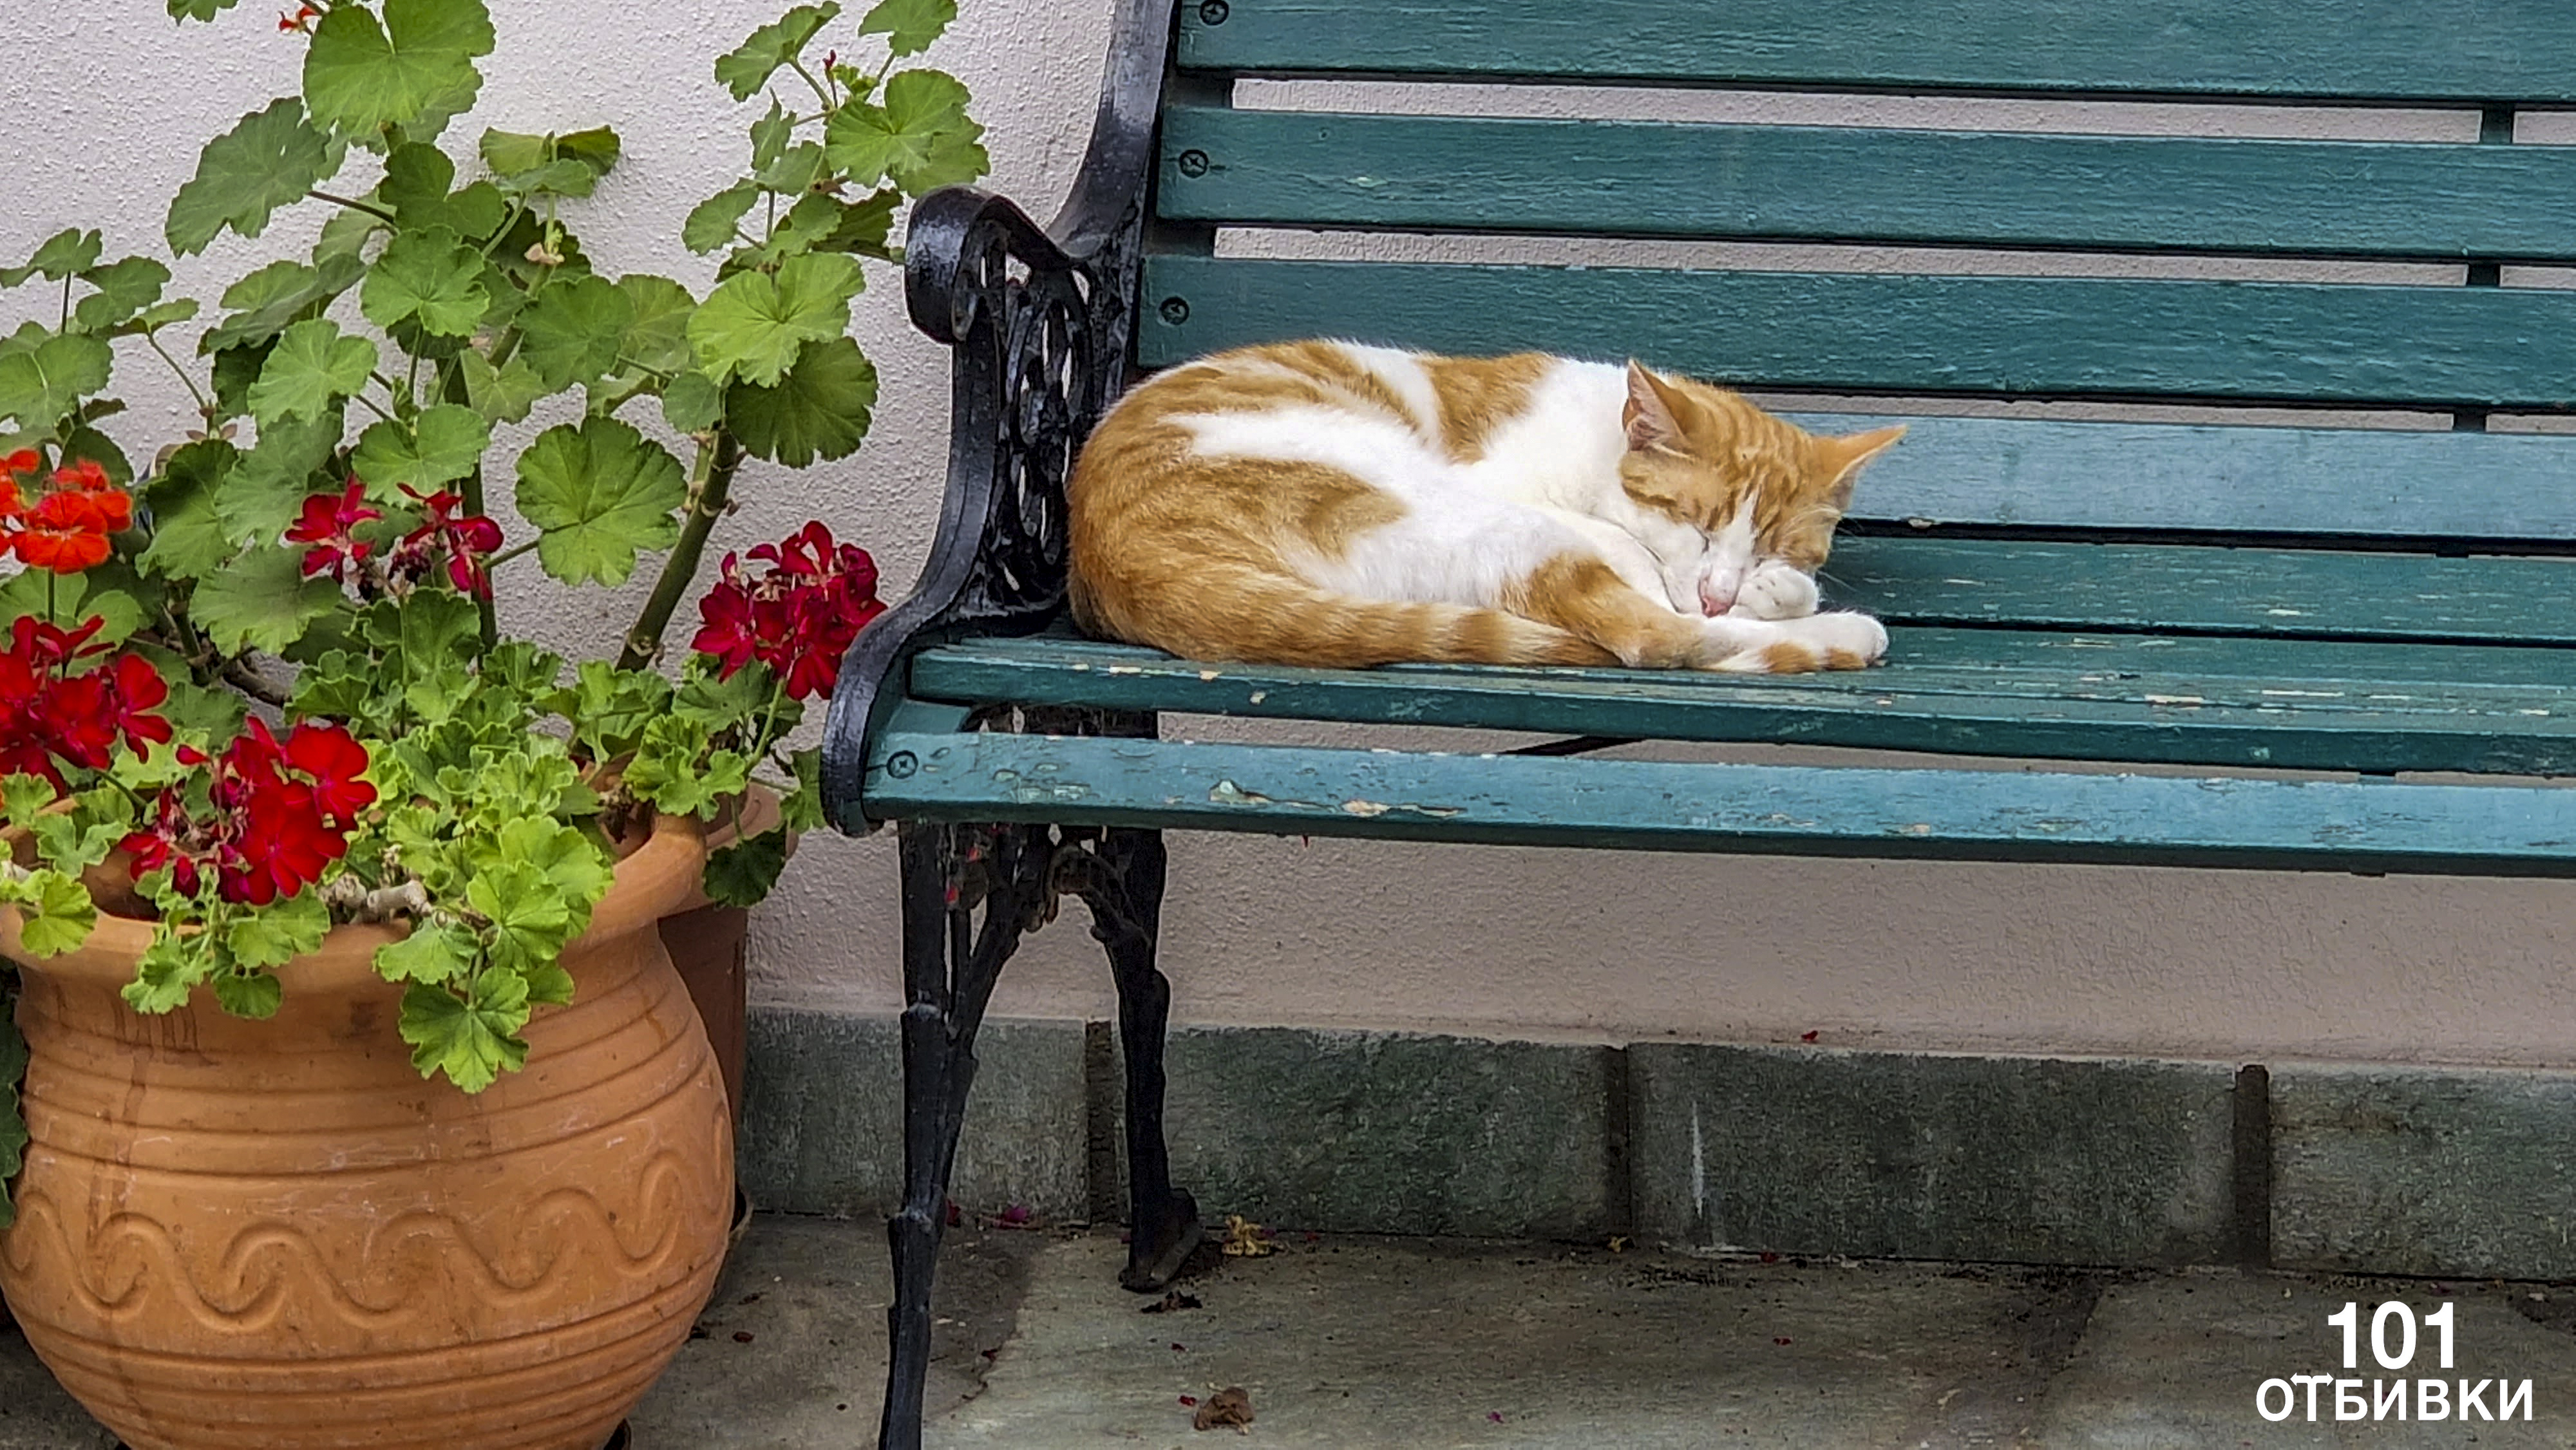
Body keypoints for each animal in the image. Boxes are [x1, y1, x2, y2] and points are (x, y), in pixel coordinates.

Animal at [1066, 342, 1903, 673]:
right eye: (1695, 528)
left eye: (1771, 545)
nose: (1721, 587)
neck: (1598, 444)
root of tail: (1123, 559)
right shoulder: (1510, 488)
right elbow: (1642, 571)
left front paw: (1777, 588)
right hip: (1456, 512)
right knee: (1656, 637)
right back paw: (1843, 635)